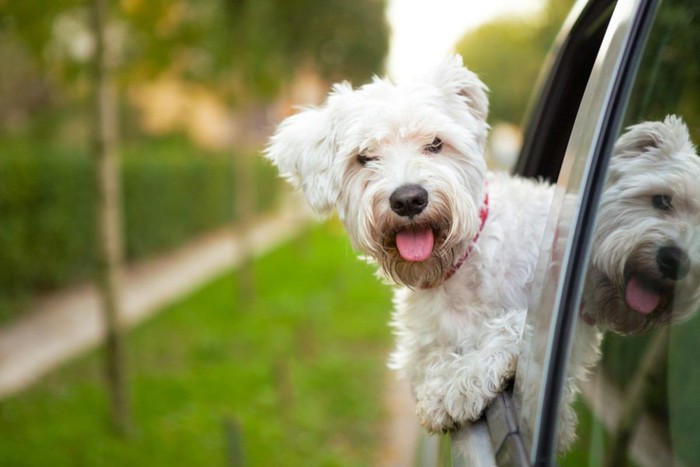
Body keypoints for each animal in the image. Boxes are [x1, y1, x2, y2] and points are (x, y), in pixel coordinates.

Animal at [266, 55, 556, 436]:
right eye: (365, 157)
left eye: (435, 143)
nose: (408, 200)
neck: (456, 270)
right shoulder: (420, 347)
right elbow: (430, 359)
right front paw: (443, 385)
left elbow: (513, 326)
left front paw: (459, 384)